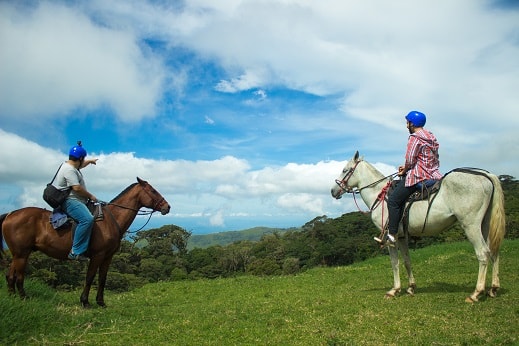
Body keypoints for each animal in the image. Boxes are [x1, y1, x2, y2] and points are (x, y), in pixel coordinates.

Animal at [0, 177, 171, 306]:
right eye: (153, 191)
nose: (167, 207)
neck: (111, 219)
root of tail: (10, 214)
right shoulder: (97, 255)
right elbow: (89, 277)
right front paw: (85, 301)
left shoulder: (108, 257)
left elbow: (102, 279)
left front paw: (101, 302)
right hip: (22, 254)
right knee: (19, 276)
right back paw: (23, 297)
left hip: (18, 254)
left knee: (10, 275)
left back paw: (13, 297)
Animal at [332, 150, 506, 302]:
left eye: (345, 170)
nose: (333, 191)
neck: (380, 194)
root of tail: (486, 175)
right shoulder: (402, 236)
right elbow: (407, 261)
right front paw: (411, 287)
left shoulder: (390, 237)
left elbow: (394, 263)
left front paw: (394, 290)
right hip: (484, 225)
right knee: (493, 252)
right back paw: (493, 288)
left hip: (471, 226)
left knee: (483, 253)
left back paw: (476, 293)